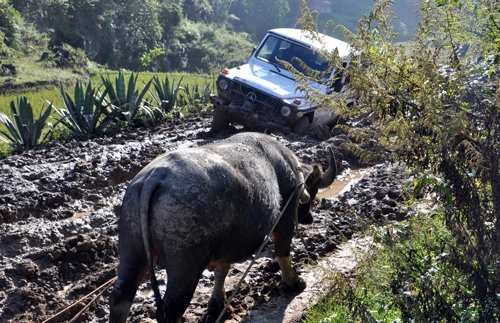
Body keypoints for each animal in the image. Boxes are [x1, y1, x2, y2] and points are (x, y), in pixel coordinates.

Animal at [109, 132, 336, 323]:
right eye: (313, 191)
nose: (310, 218)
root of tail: (155, 176)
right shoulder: (285, 220)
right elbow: (283, 253)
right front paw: (295, 283)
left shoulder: (226, 248)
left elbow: (222, 272)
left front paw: (218, 306)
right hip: (185, 269)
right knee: (171, 311)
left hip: (132, 251)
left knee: (120, 297)